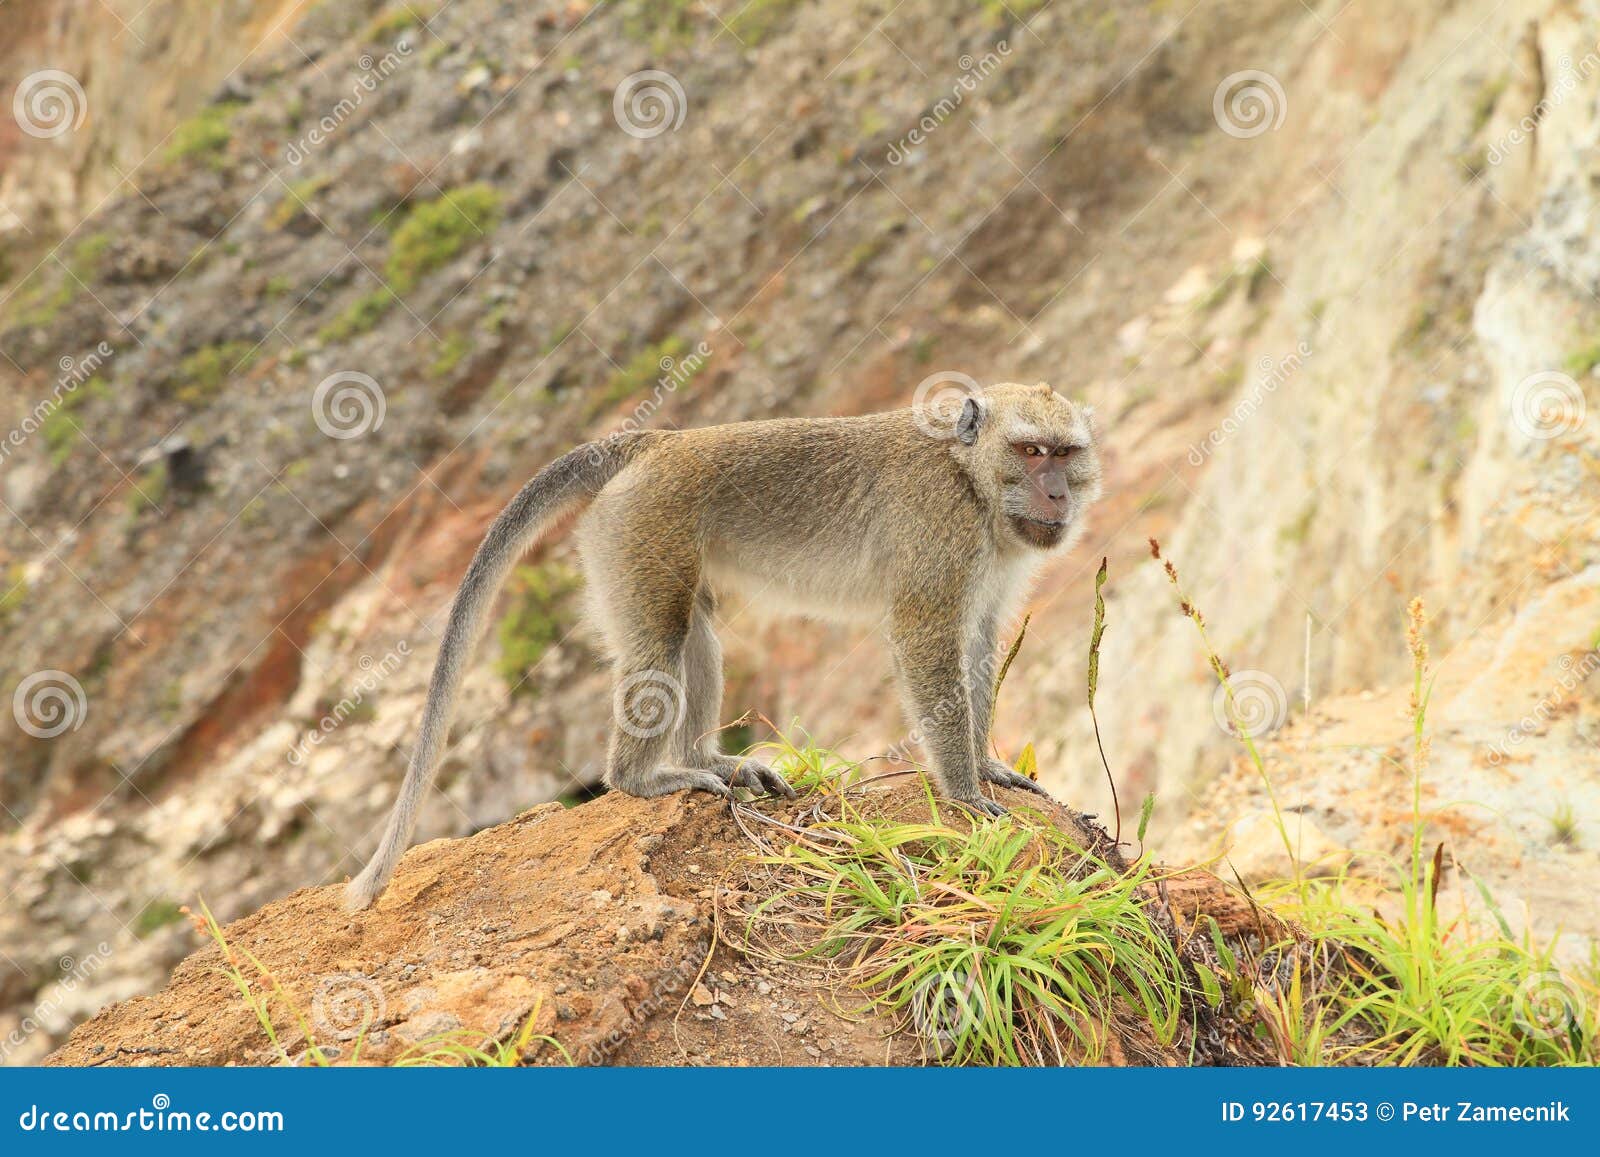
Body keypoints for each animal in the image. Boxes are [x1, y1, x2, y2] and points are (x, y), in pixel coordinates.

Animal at [342, 384, 1100, 908]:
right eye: (1030, 451)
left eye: (1065, 453)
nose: (1056, 494)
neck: (971, 479)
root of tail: (654, 443)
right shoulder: (938, 530)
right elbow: (926, 635)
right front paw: (964, 790)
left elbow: (978, 636)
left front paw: (987, 764)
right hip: (639, 527)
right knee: (659, 642)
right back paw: (641, 778)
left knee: (694, 633)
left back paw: (706, 760)